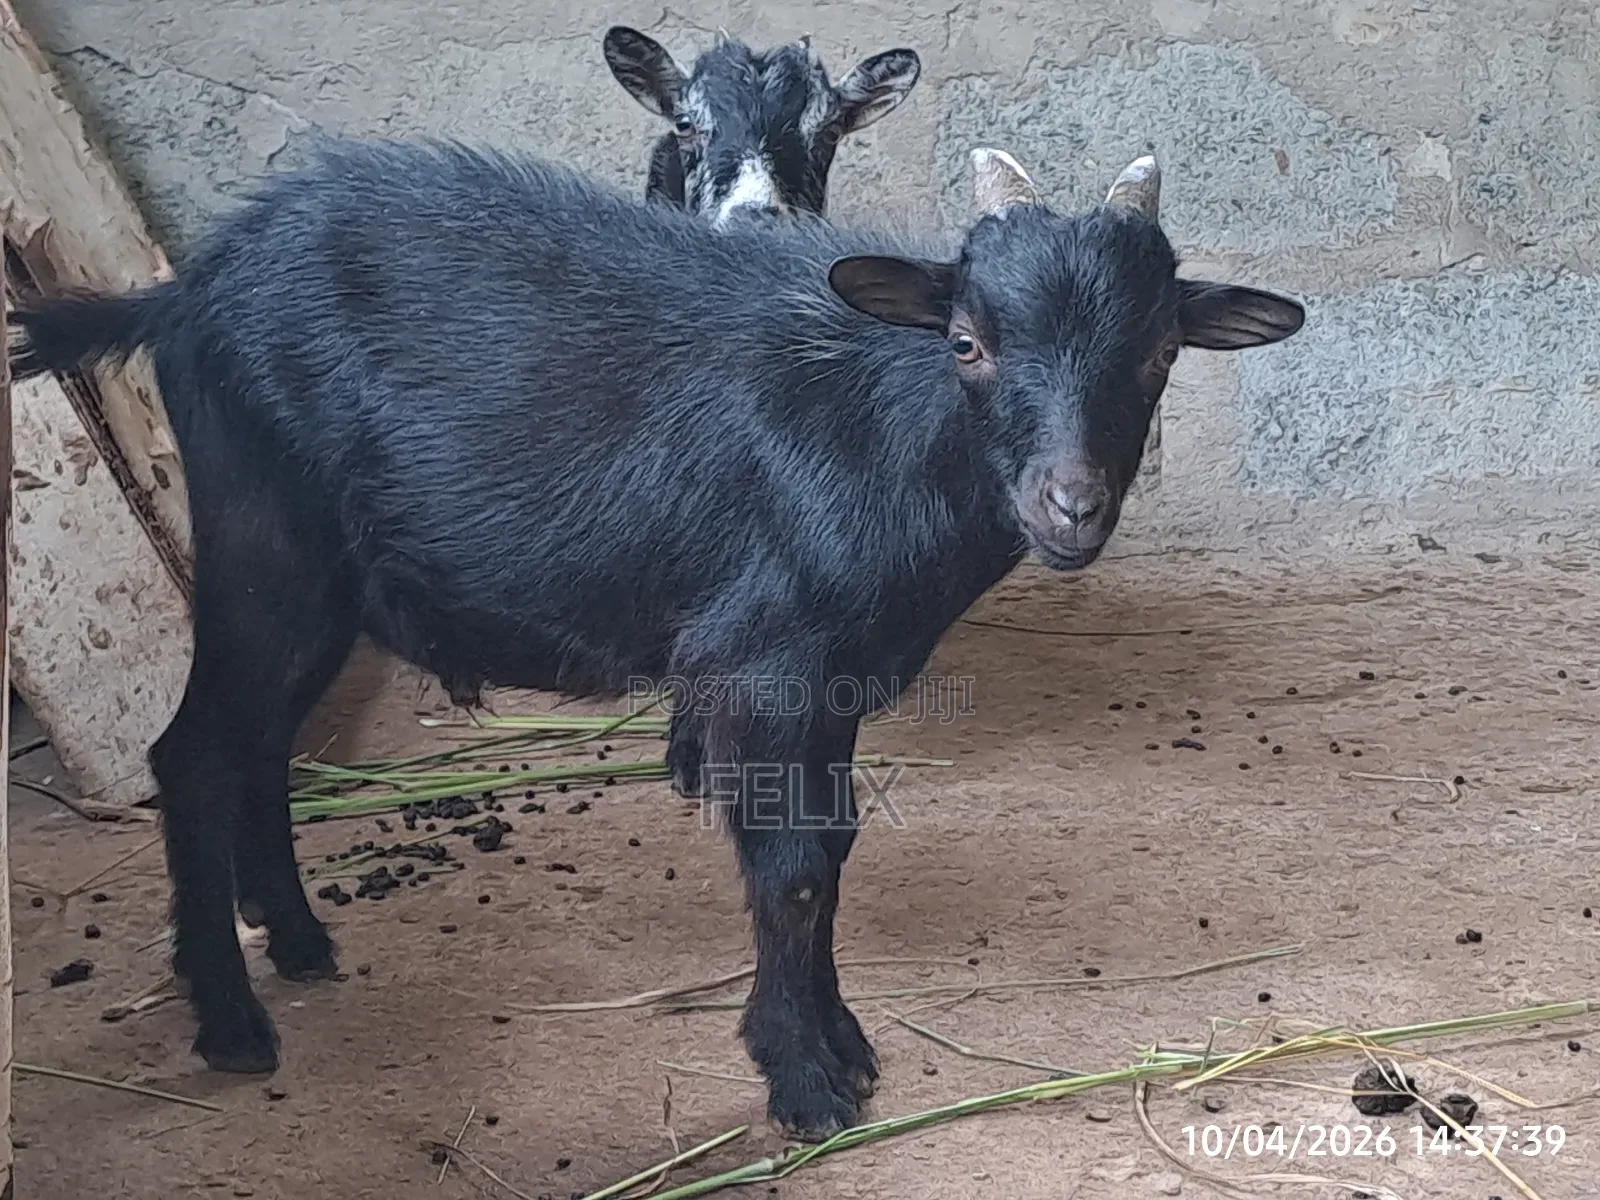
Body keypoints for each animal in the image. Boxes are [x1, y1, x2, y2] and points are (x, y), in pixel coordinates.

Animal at [9, 139, 1304, 1140]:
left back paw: (299, 941)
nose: (1070, 507)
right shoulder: (757, 666)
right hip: (262, 549)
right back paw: (232, 1024)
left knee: (262, 748)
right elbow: (790, 872)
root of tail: (182, 295)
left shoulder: (832, 678)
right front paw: (805, 1083)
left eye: (1158, 352)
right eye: (967, 342)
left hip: (323, 589)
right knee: (191, 753)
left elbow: (832, 852)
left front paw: (840, 1044)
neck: (884, 428)